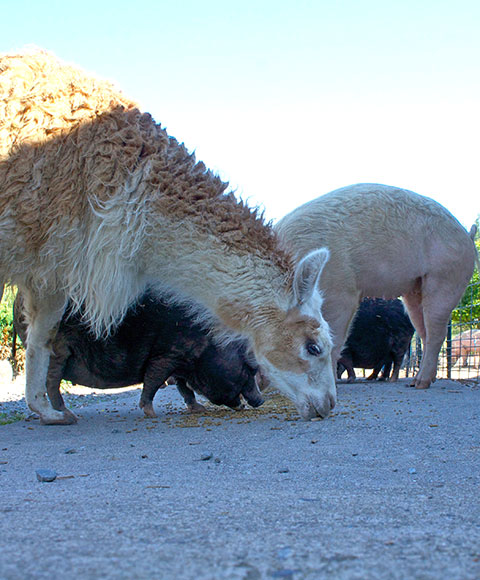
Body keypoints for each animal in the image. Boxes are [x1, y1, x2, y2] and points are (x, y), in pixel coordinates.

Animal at [14, 290, 262, 422]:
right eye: (249, 368)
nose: (260, 400)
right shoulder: (166, 354)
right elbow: (153, 381)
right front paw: (151, 413)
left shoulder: (181, 360)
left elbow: (184, 388)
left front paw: (199, 409)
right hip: (57, 348)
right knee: (51, 383)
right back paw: (67, 415)